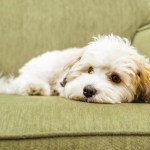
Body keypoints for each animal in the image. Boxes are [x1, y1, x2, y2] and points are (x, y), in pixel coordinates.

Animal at [0, 34, 150, 103]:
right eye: (90, 70)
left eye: (115, 78)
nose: (88, 90)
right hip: (47, 68)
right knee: (21, 82)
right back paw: (34, 88)